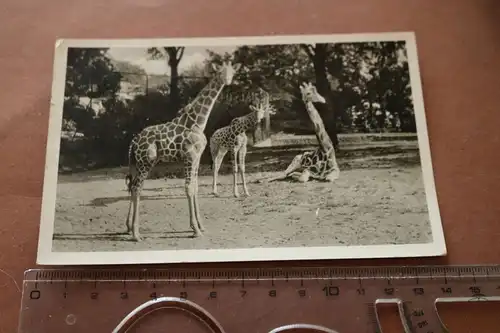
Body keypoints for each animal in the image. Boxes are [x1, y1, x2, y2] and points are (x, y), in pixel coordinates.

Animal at [125, 60, 242, 241]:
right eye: (221, 72)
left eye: (232, 71)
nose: (227, 80)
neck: (197, 122)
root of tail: (134, 141)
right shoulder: (190, 156)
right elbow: (188, 188)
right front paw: (195, 229)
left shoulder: (197, 158)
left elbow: (195, 187)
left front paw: (200, 226)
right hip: (146, 162)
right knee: (137, 188)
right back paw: (136, 234)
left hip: (137, 163)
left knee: (133, 186)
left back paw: (129, 228)